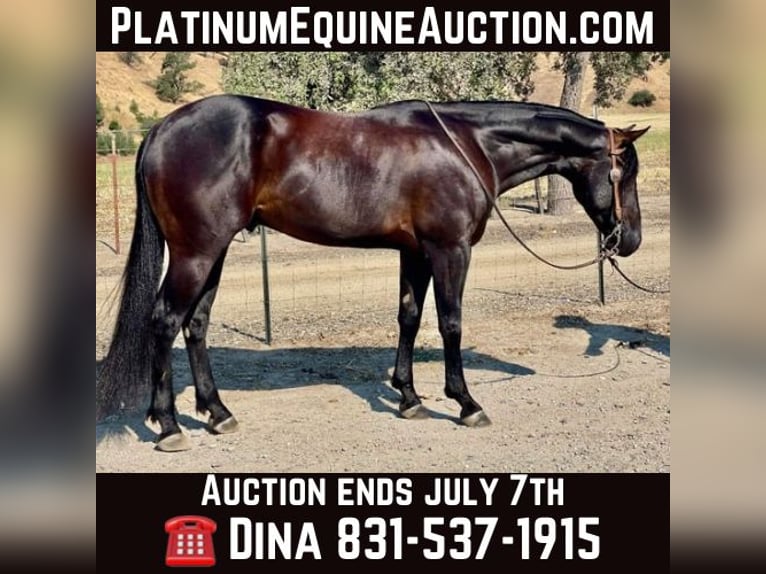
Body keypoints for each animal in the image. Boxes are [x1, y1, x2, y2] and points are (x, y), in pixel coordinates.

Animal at [96, 94, 648, 451]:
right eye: (627, 172)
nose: (632, 241)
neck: (467, 144)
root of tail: (163, 128)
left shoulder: (416, 253)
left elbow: (409, 318)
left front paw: (408, 397)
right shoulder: (449, 251)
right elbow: (450, 322)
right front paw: (465, 402)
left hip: (214, 253)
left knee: (196, 324)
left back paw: (217, 413)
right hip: (196, 252)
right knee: (165, 321)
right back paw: (169, 426)